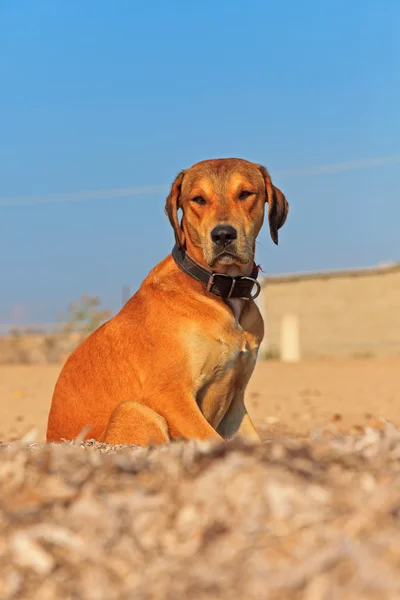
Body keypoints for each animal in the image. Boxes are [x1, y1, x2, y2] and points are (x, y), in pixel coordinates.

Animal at [47, 158, 290, 446]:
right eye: (198, 199)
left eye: (245, 194)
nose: (223, 235)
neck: (218, 290)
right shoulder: (171, 396)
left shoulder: (235, 403)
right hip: (134, 411)